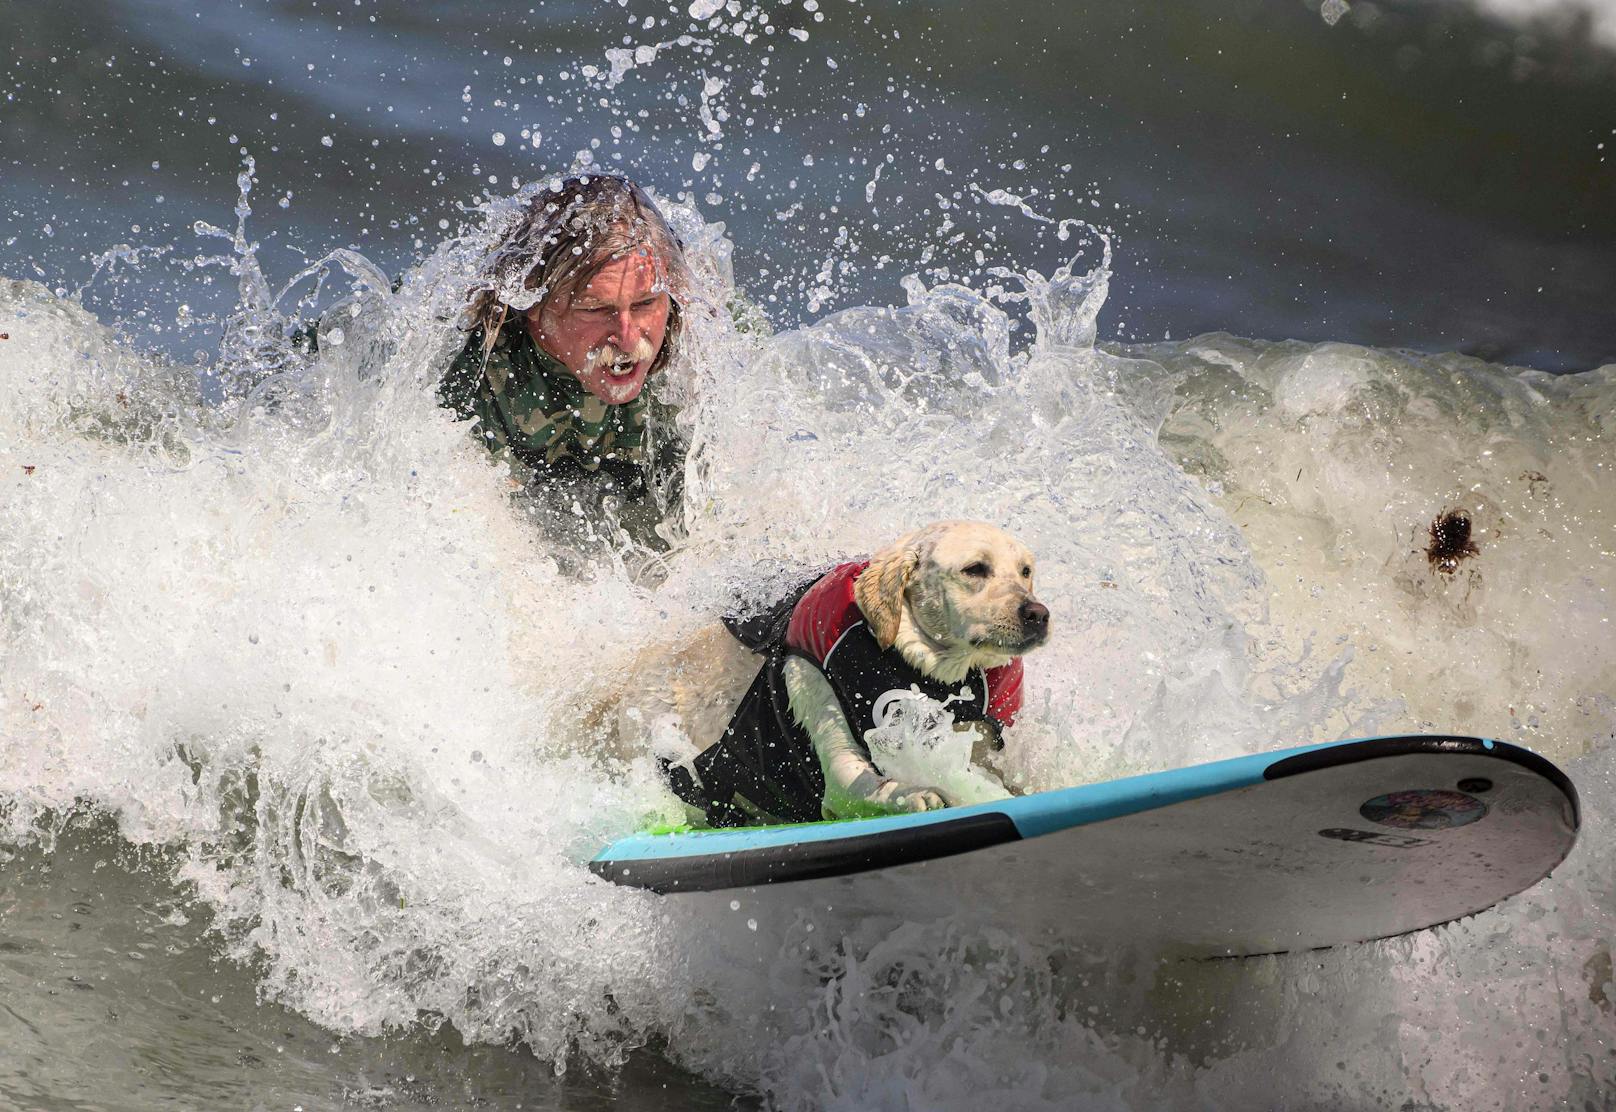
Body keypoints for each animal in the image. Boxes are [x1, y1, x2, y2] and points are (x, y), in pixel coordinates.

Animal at [649, 520, 1053, 824]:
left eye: (1026, 570)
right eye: (975, 569)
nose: (1038, 615)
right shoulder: (837, 763)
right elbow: (867, 785)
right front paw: (913, 793)